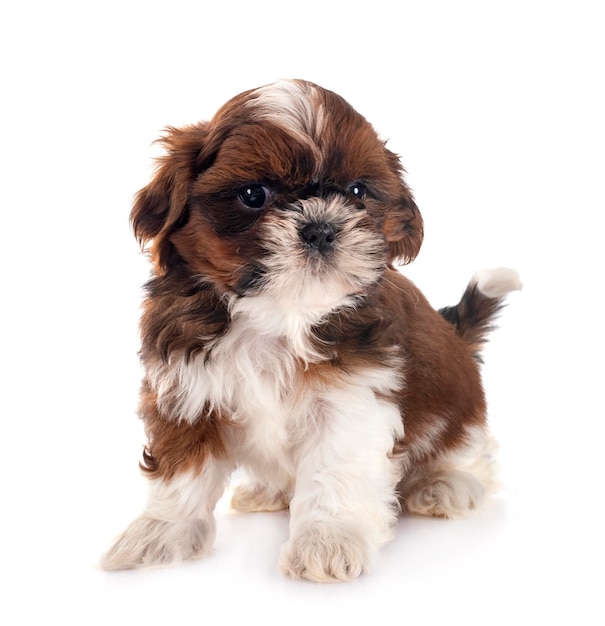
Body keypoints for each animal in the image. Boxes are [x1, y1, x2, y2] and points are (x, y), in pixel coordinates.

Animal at [100, 78, 520, 580]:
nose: (321, 227)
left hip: (458, 407)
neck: (279, 312)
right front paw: (159, 534)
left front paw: (327, 542)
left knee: (470, 451)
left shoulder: (349, 398)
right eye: (254, 195)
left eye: (358, 191)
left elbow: (332, 470)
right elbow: (182, 473)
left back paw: (446, 483)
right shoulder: (185, 385)